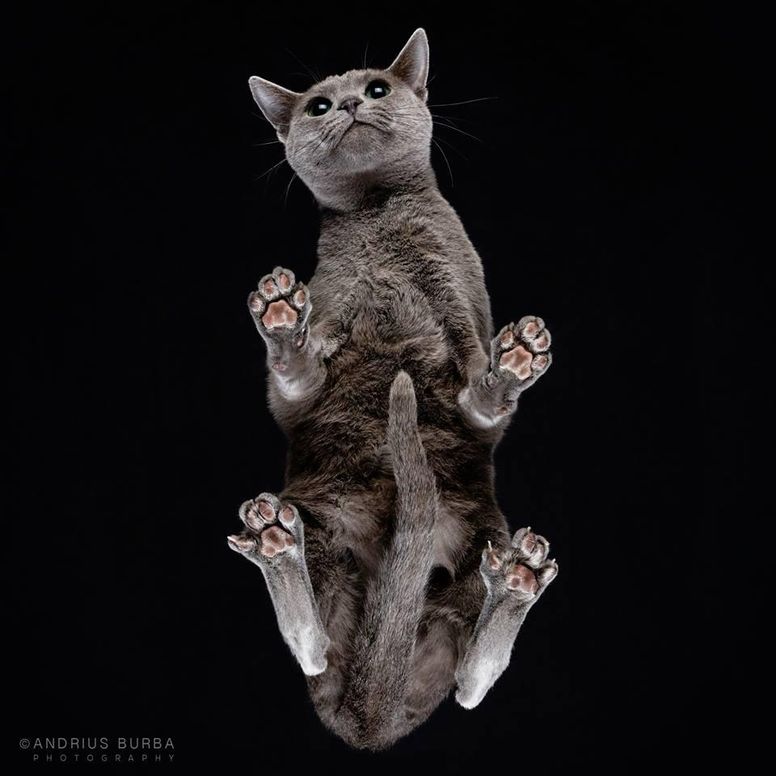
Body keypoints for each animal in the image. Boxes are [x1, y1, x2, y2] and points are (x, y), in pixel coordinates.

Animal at [227, 30, 560, 752]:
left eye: (377, 88)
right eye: (320, 104)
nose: (351, 103)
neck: (379, 217)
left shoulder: (461, 304)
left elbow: (482, 402)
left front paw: (511, 366)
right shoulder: (305, 377)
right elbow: (294, 381)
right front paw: (283, 320)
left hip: (479, 534)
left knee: (469, 681)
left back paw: (517, 580)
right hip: (319, 517)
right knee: (312, 645)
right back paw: (276, 543)